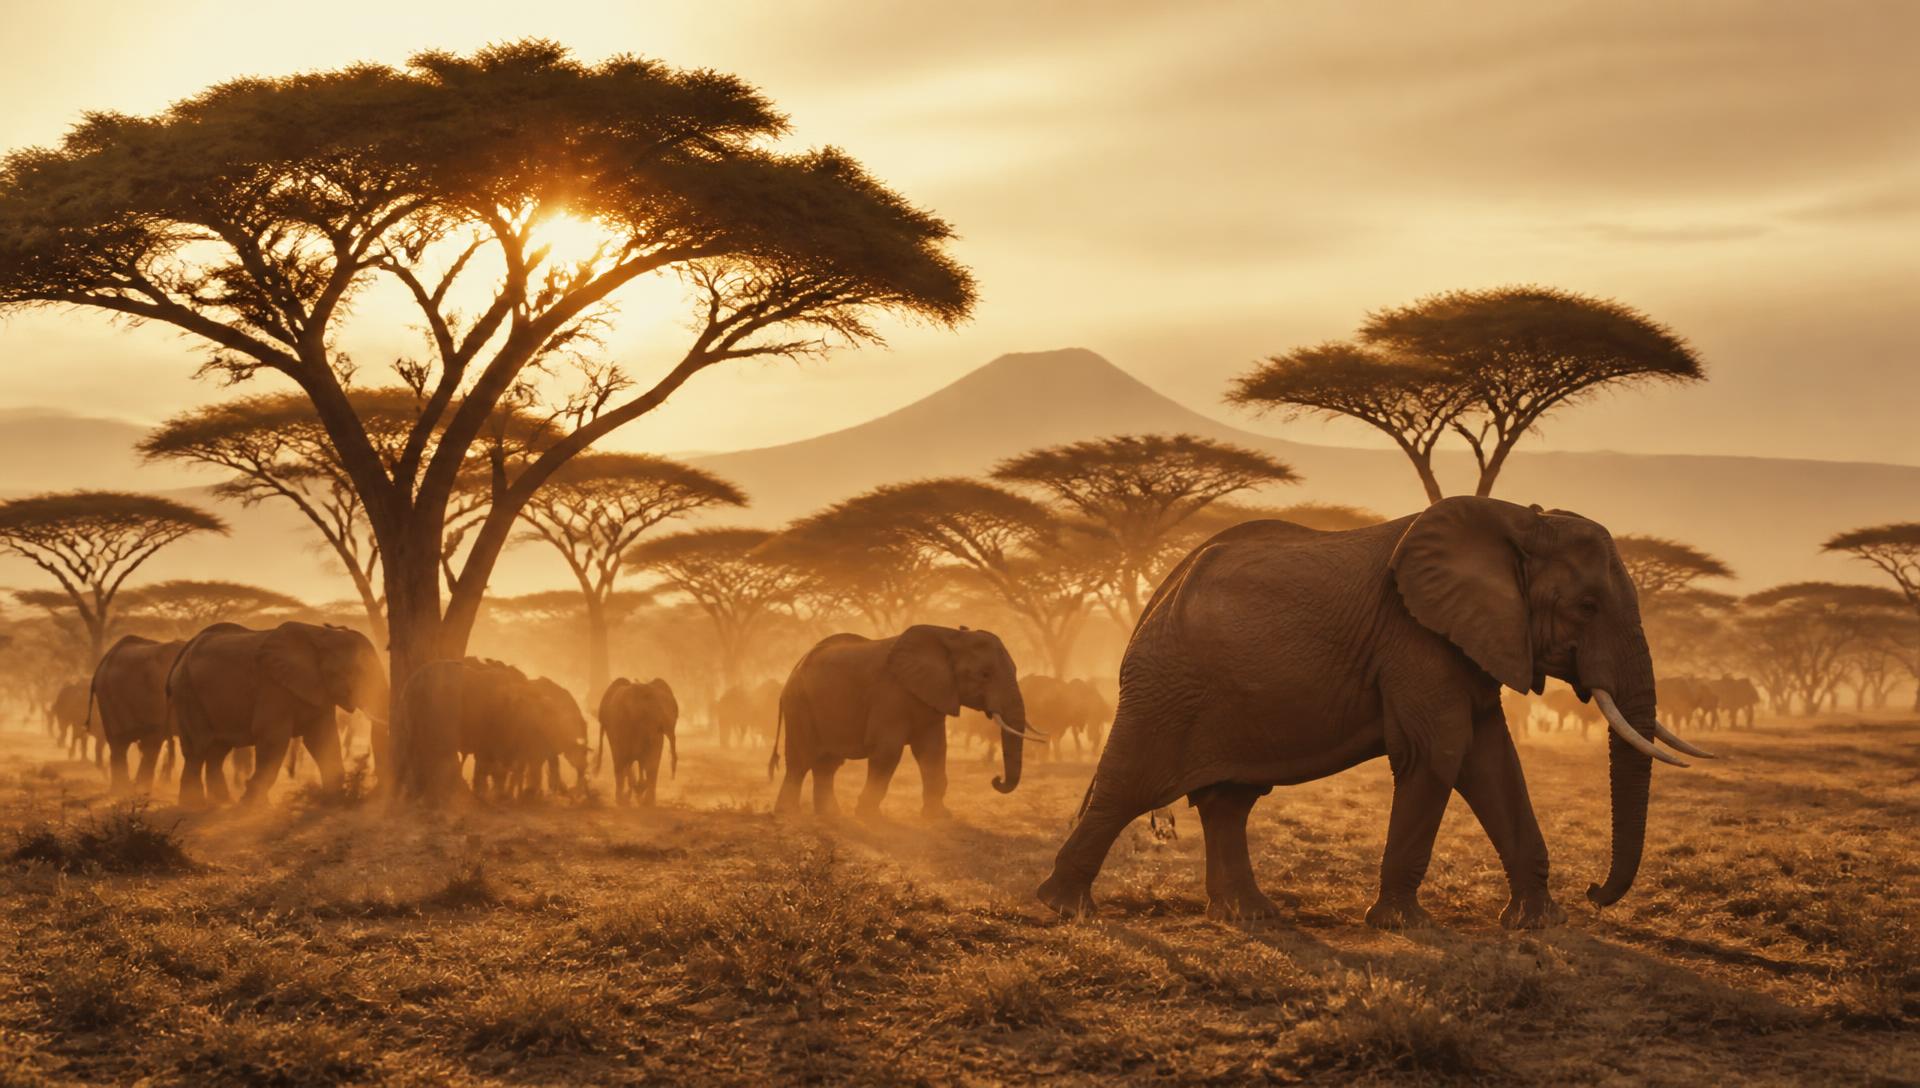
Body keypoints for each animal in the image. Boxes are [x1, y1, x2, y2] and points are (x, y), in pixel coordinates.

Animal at [168, 622, 390, 806]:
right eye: (357, 672)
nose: (375, 791)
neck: (320, 635)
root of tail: (184, 650)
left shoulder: (318, 690)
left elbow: (322, 739)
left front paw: (333, 801)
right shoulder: (272, 685)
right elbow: (273, 737)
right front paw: (251, 807)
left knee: (216, 752)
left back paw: (221, 803)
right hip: (187, 693)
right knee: (198, 749)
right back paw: (194, 806)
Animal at [770, 625, 1044, 819]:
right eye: (984, 675)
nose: (996, 780)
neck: (950, 636)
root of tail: (794, 669)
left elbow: (933, 752)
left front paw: (939, 817)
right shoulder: (889, 693)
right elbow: (887, 750)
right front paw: (869, 816)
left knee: (827, 764)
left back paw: (830, 815)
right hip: (800, 705)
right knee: (801, 761)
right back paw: (788, 815)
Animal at [1035, 497, 1715, 929]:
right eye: (1588, 606)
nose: (1597, 891)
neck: (1519, 523)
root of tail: (1155, 596)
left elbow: (1491, 759)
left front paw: (1539, 923)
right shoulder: (1415, 638)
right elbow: (1441, 751)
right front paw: (1403, 925)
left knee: (1229, 800)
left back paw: (1249, 916)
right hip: (1166, 687)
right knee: (1128, 787)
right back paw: (1064, 909)